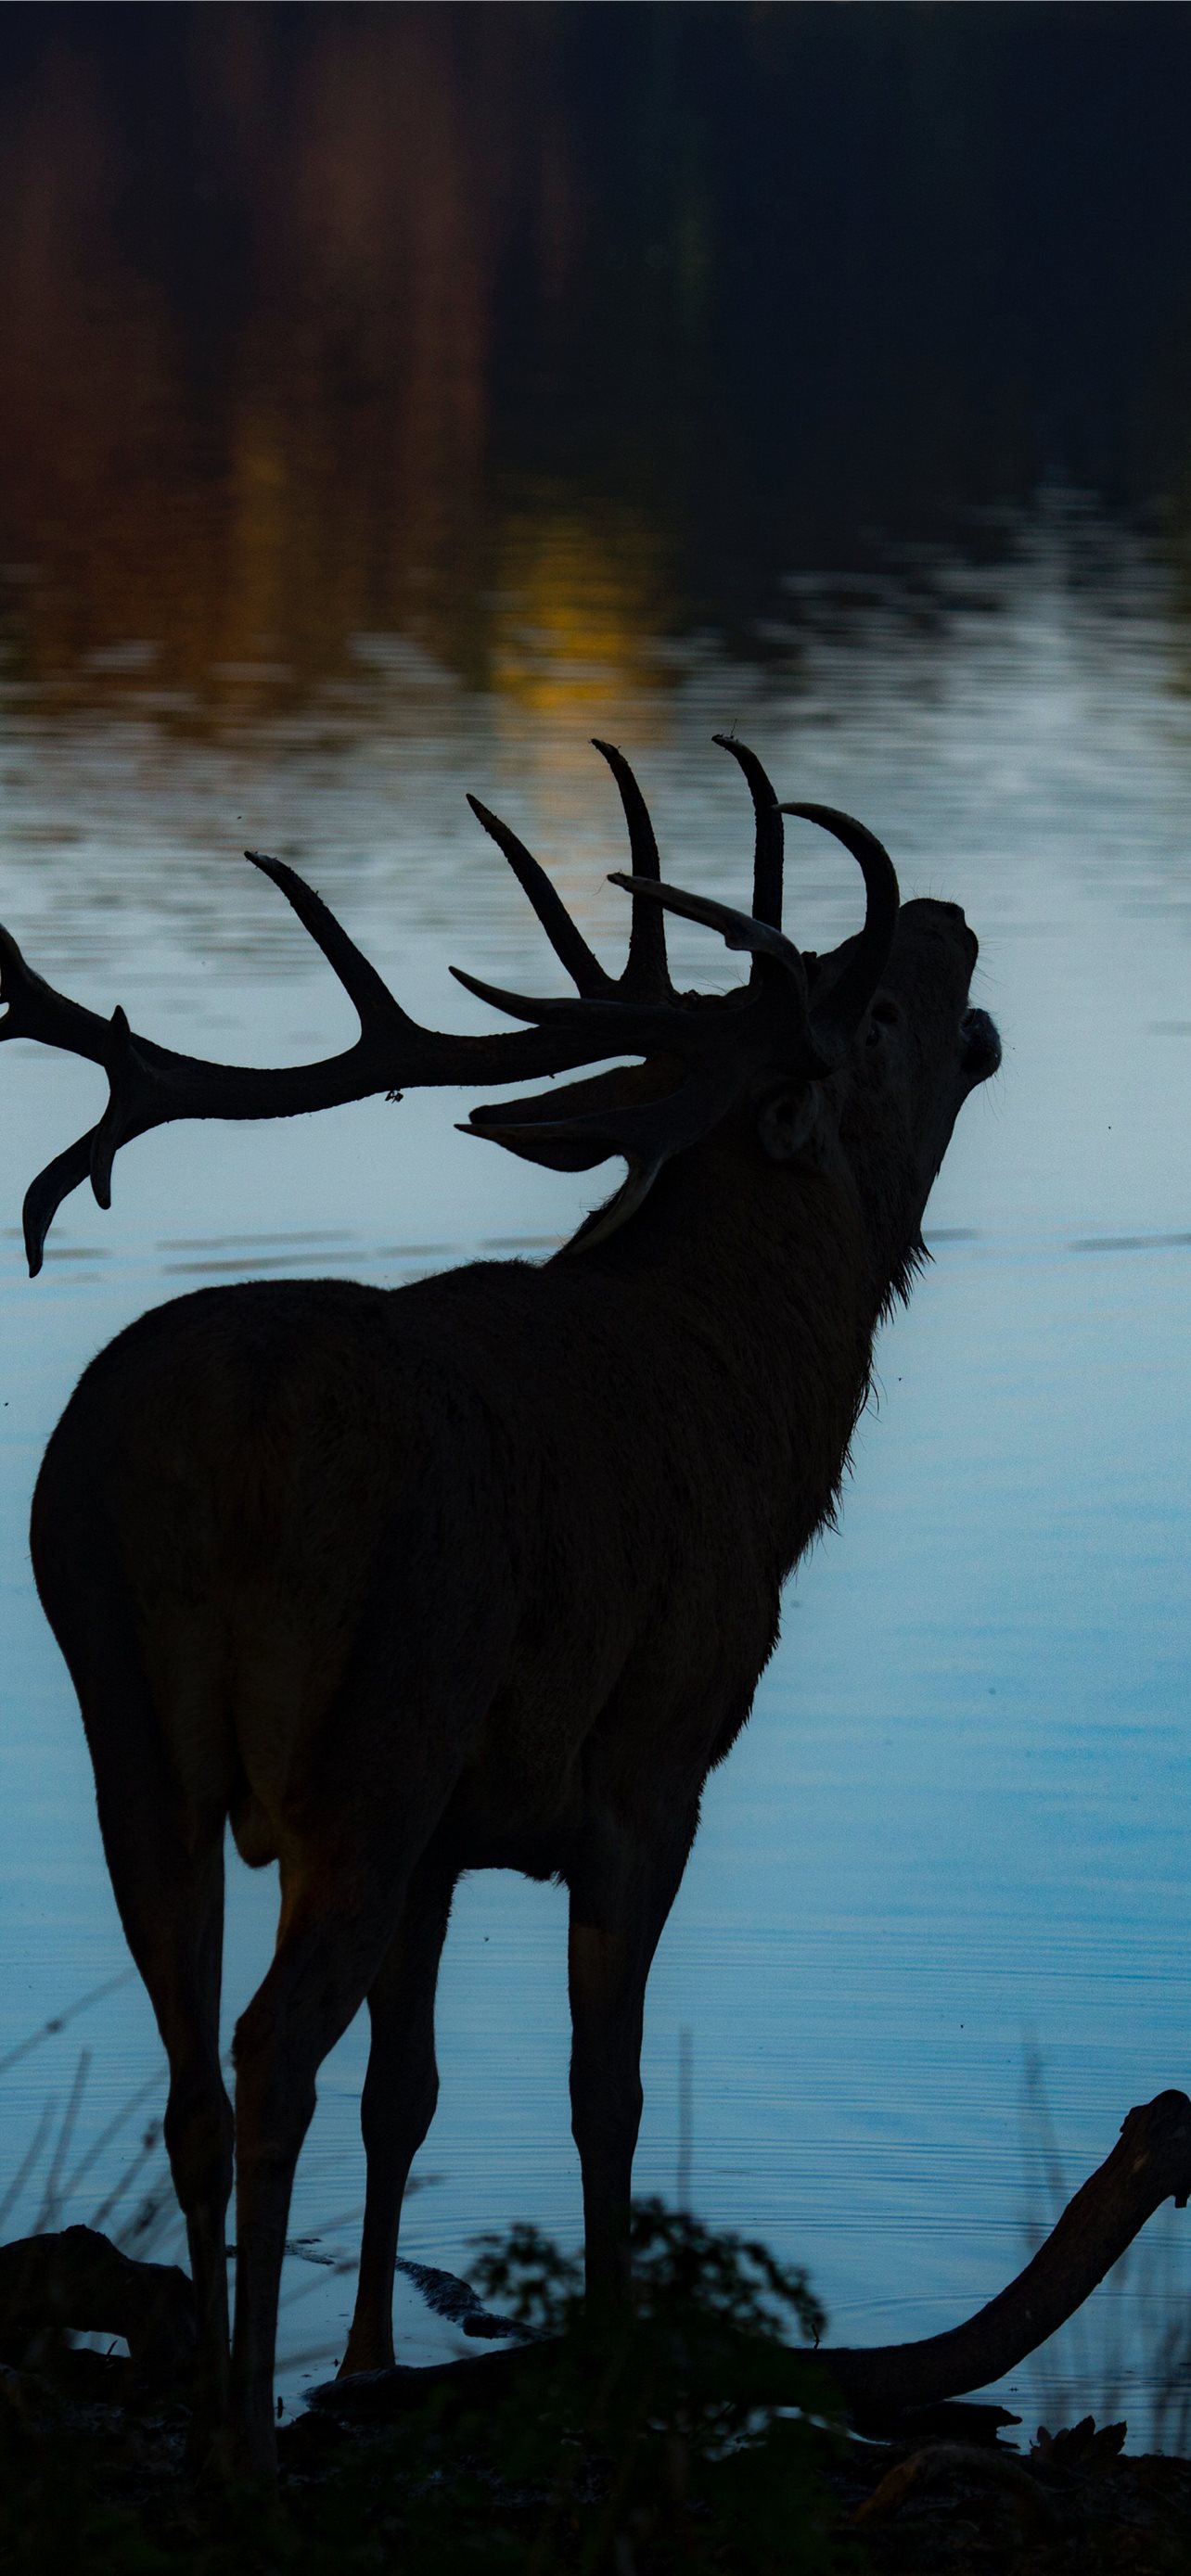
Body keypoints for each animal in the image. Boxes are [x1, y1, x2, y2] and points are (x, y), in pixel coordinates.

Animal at [0, 737, 1000, 2475]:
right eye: (871, 1003)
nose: (949, 916)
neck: (765, 1419)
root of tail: (213, 1448)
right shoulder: (653, 1757)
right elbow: (605, 2085)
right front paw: (607, 2354)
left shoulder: (458, 1829)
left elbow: (409, 2089)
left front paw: (371, 2360)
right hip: (375, 1728)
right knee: (270, 2048)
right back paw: (246, 2433)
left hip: (132, 1724)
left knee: (195, 2065)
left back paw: (215, 2399)